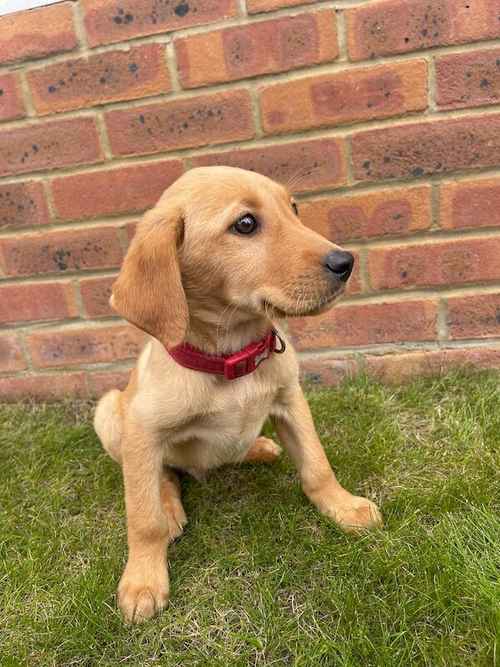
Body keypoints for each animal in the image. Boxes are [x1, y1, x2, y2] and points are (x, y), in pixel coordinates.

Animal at [94, 167, 382, 628]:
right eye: (245, 224)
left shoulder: (291, 399)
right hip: (108, 411)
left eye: (294, 208)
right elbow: (142, 517)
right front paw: (142, 581)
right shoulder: (142, 427)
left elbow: (317, 466)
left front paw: (343, 507)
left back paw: (259, 447)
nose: (346, 262)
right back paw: (170, 506)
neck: (232, 357)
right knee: (163, 473)